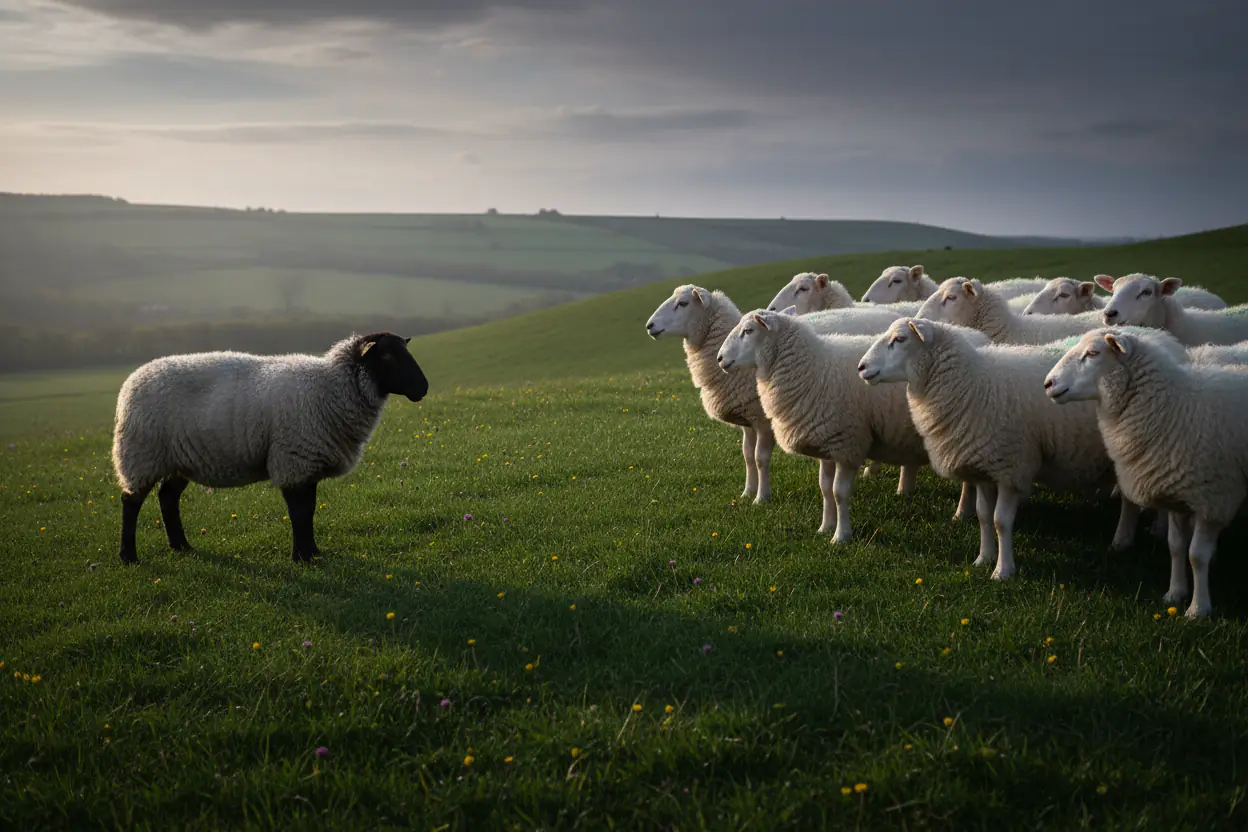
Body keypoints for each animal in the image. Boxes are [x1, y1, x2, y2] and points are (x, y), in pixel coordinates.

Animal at [112, 332, 429, 565]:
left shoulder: (308, 462)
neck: (331, 388)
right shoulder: (292, 460)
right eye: (387, 355)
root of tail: (132, 380)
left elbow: (310, 510)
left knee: (168, 497)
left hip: (180, 458)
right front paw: (301, 557)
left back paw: (181, 546)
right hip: (141, 454)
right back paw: (128, 557)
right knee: (131, 502)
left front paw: (313, 552)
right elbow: (299, 512)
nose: (423, 388)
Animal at [716, 309, 937, 543]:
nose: (719, 359)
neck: (813, 370)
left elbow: (839, 493)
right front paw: (826, 527)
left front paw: (841, 536)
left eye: (748, 331)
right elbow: (825, 488)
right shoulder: (826, 442)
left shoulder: (848, 445)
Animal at [857, 318, 1138, 580]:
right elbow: (983, 515)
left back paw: (1121, 540)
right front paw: (983, 558)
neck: (971, 385)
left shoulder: (1010, 467)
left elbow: (1000, 521)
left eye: (900, 339)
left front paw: (1003, 570)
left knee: (1129, 500)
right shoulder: (983, 465)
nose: (861, 367)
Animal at [1044, 326, 1248, 618]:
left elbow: (1197, 555)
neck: (1173, 409)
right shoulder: (1176, 493)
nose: (1048, 384)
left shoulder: (1212, 499)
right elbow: (1176, 547)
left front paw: (1198, 609)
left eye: (1093, 353)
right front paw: (1175, 594)